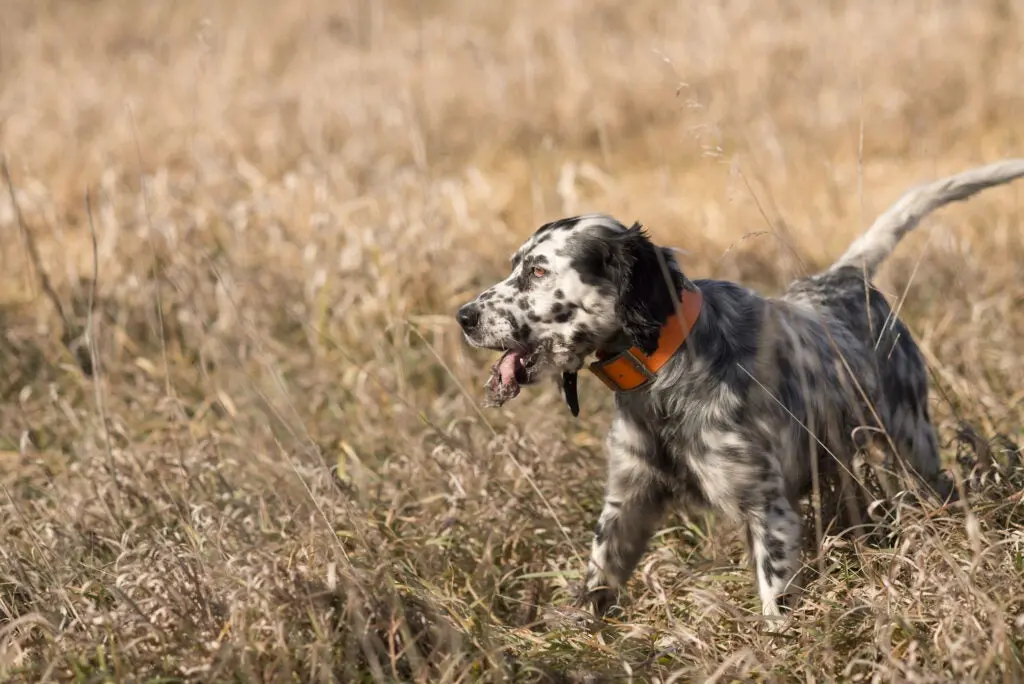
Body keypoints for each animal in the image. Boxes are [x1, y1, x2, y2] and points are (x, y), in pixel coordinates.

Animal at [454, 160, 1024, 626]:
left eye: (538, 271)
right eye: (516, 264)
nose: (463, 316)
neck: (663, 375)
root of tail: (842, 279)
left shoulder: (766, 509)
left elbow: (775, 604)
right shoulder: (630, 497)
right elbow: (600, 575)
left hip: (909, 447)